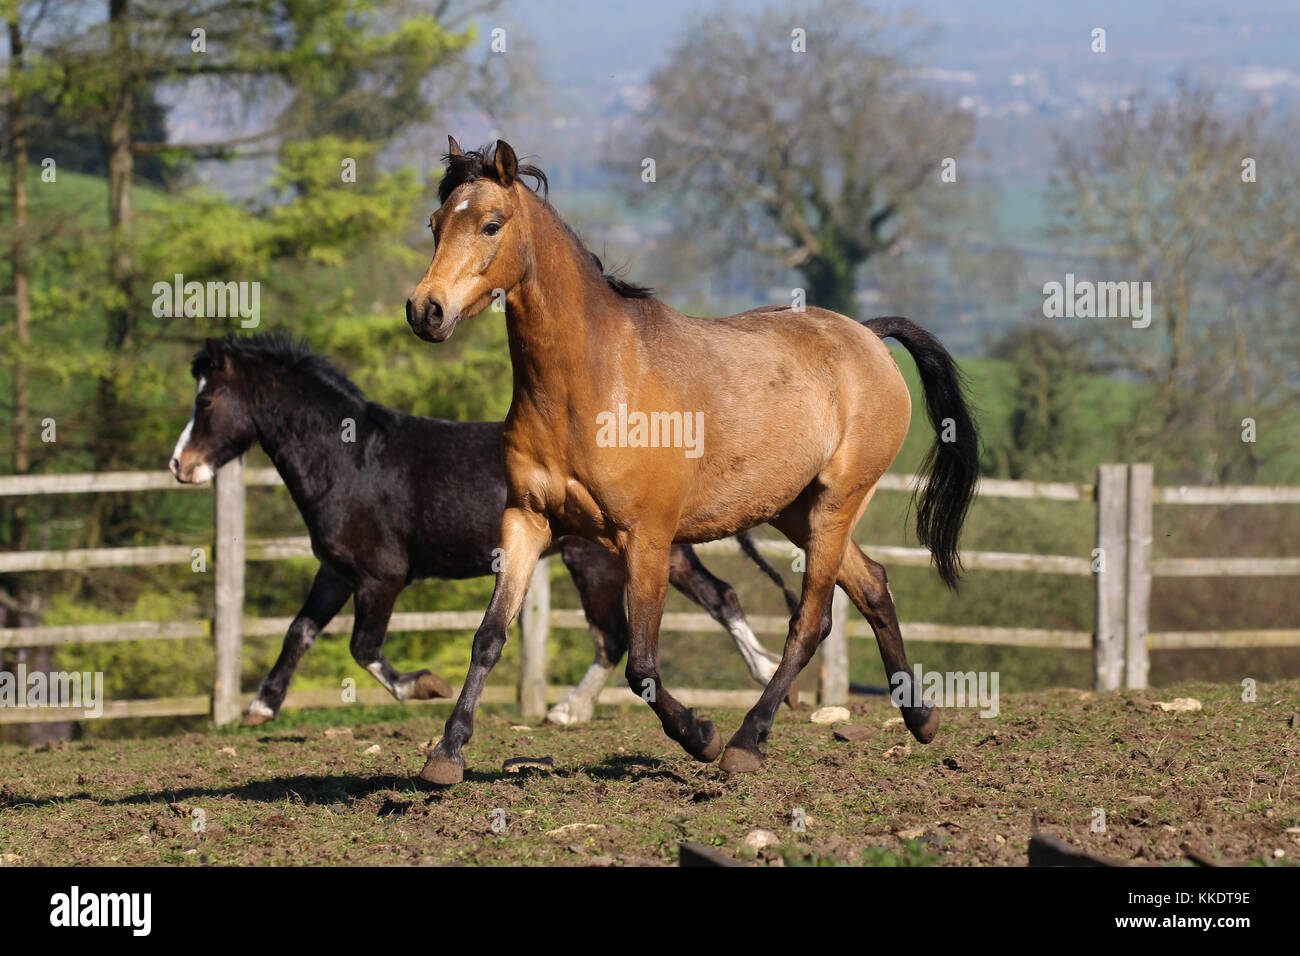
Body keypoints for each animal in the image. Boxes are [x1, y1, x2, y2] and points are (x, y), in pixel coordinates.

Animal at [167, 334, 800, 727]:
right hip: (659, 552)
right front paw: (260, 707)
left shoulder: (381, 575)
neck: (350, 461)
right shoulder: (338, 569)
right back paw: (769, 676)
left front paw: (425, 686)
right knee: (720, 596)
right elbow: (299, 632)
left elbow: (362, 647)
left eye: (209, 400)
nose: (179, 465)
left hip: (595, 561)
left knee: (616, 637)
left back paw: (568, 710)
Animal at [405, 138, 980, 784]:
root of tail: (867, 336)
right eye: (435, 224)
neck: (594, 382)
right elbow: (490, 635)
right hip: (794, 511)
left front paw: (701, 736)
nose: (425, 311)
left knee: (811, 622)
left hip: (837, 503)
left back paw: (746, 742)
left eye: (491, 224)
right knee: (873, 585)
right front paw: (446, 754)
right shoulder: (526, 521)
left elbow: (642, 662)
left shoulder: (647, 538)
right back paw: (920, 718)